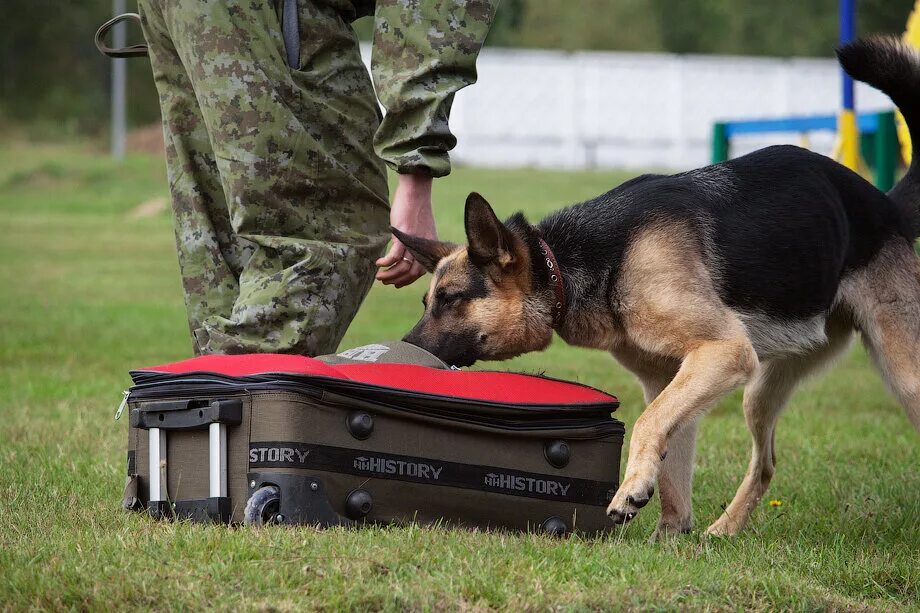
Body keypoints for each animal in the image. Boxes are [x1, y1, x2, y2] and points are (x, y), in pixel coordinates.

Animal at [394, 39, 920, 536]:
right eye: (426, 301)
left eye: (451, 300)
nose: (400, 351)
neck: (572, 262)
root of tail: (887, 207)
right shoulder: (673, 378)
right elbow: (672, 465)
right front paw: (669, 536)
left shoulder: (722, 352)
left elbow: (650, 424)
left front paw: (631, 491)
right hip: (761, 389)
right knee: (766, 462)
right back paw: (722, 530)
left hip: (901, 375)